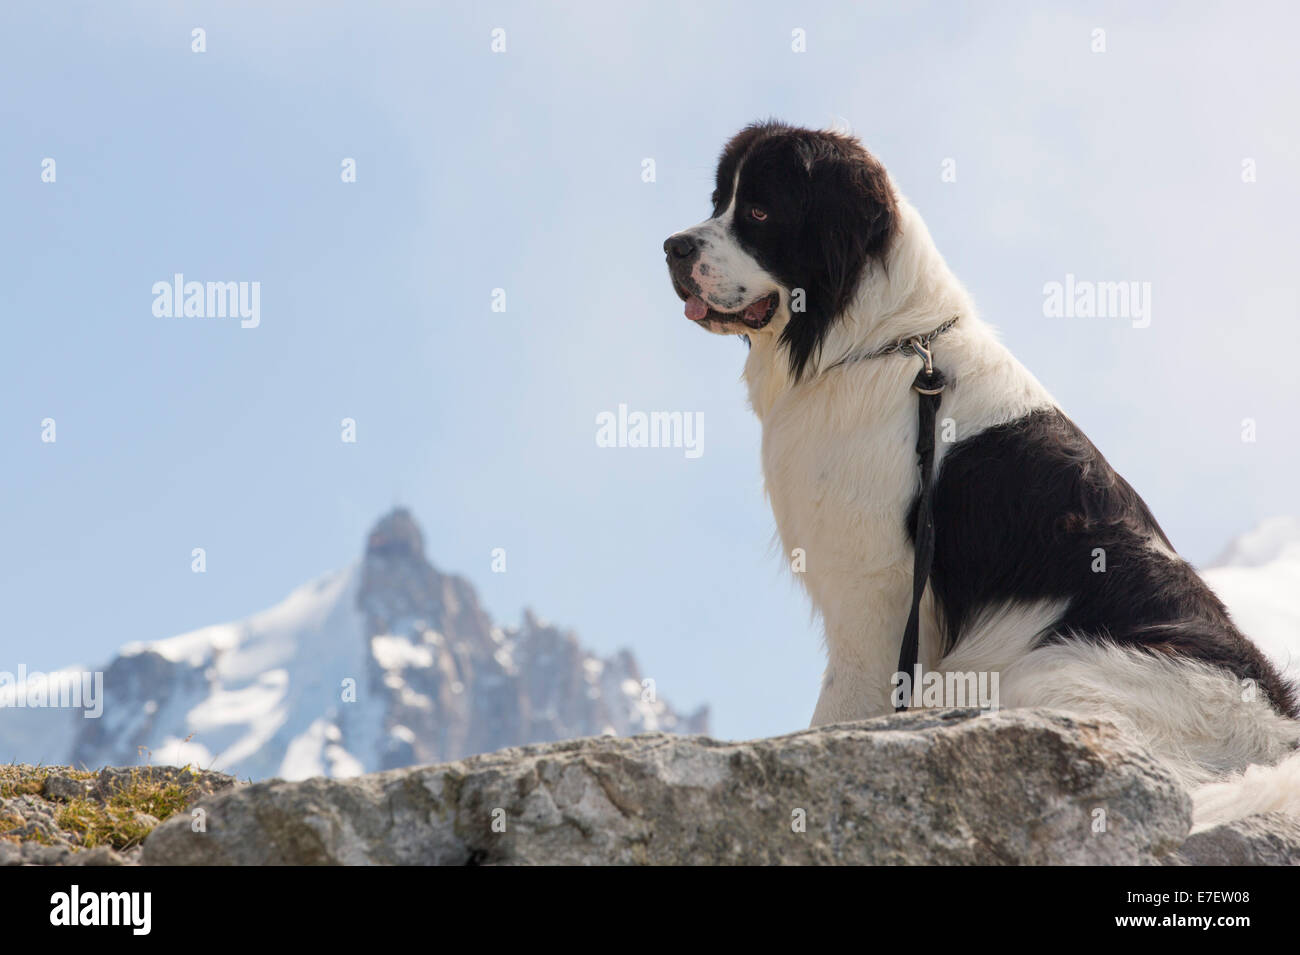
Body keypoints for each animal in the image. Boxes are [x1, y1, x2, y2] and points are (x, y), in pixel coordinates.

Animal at [665, 121, 1300, 831]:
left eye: (759, 213)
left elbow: (841, 707)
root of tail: (1279, 745)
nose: (671, 247)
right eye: (719, 201)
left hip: (1052, 669)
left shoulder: (876, 595)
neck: (879, 343)